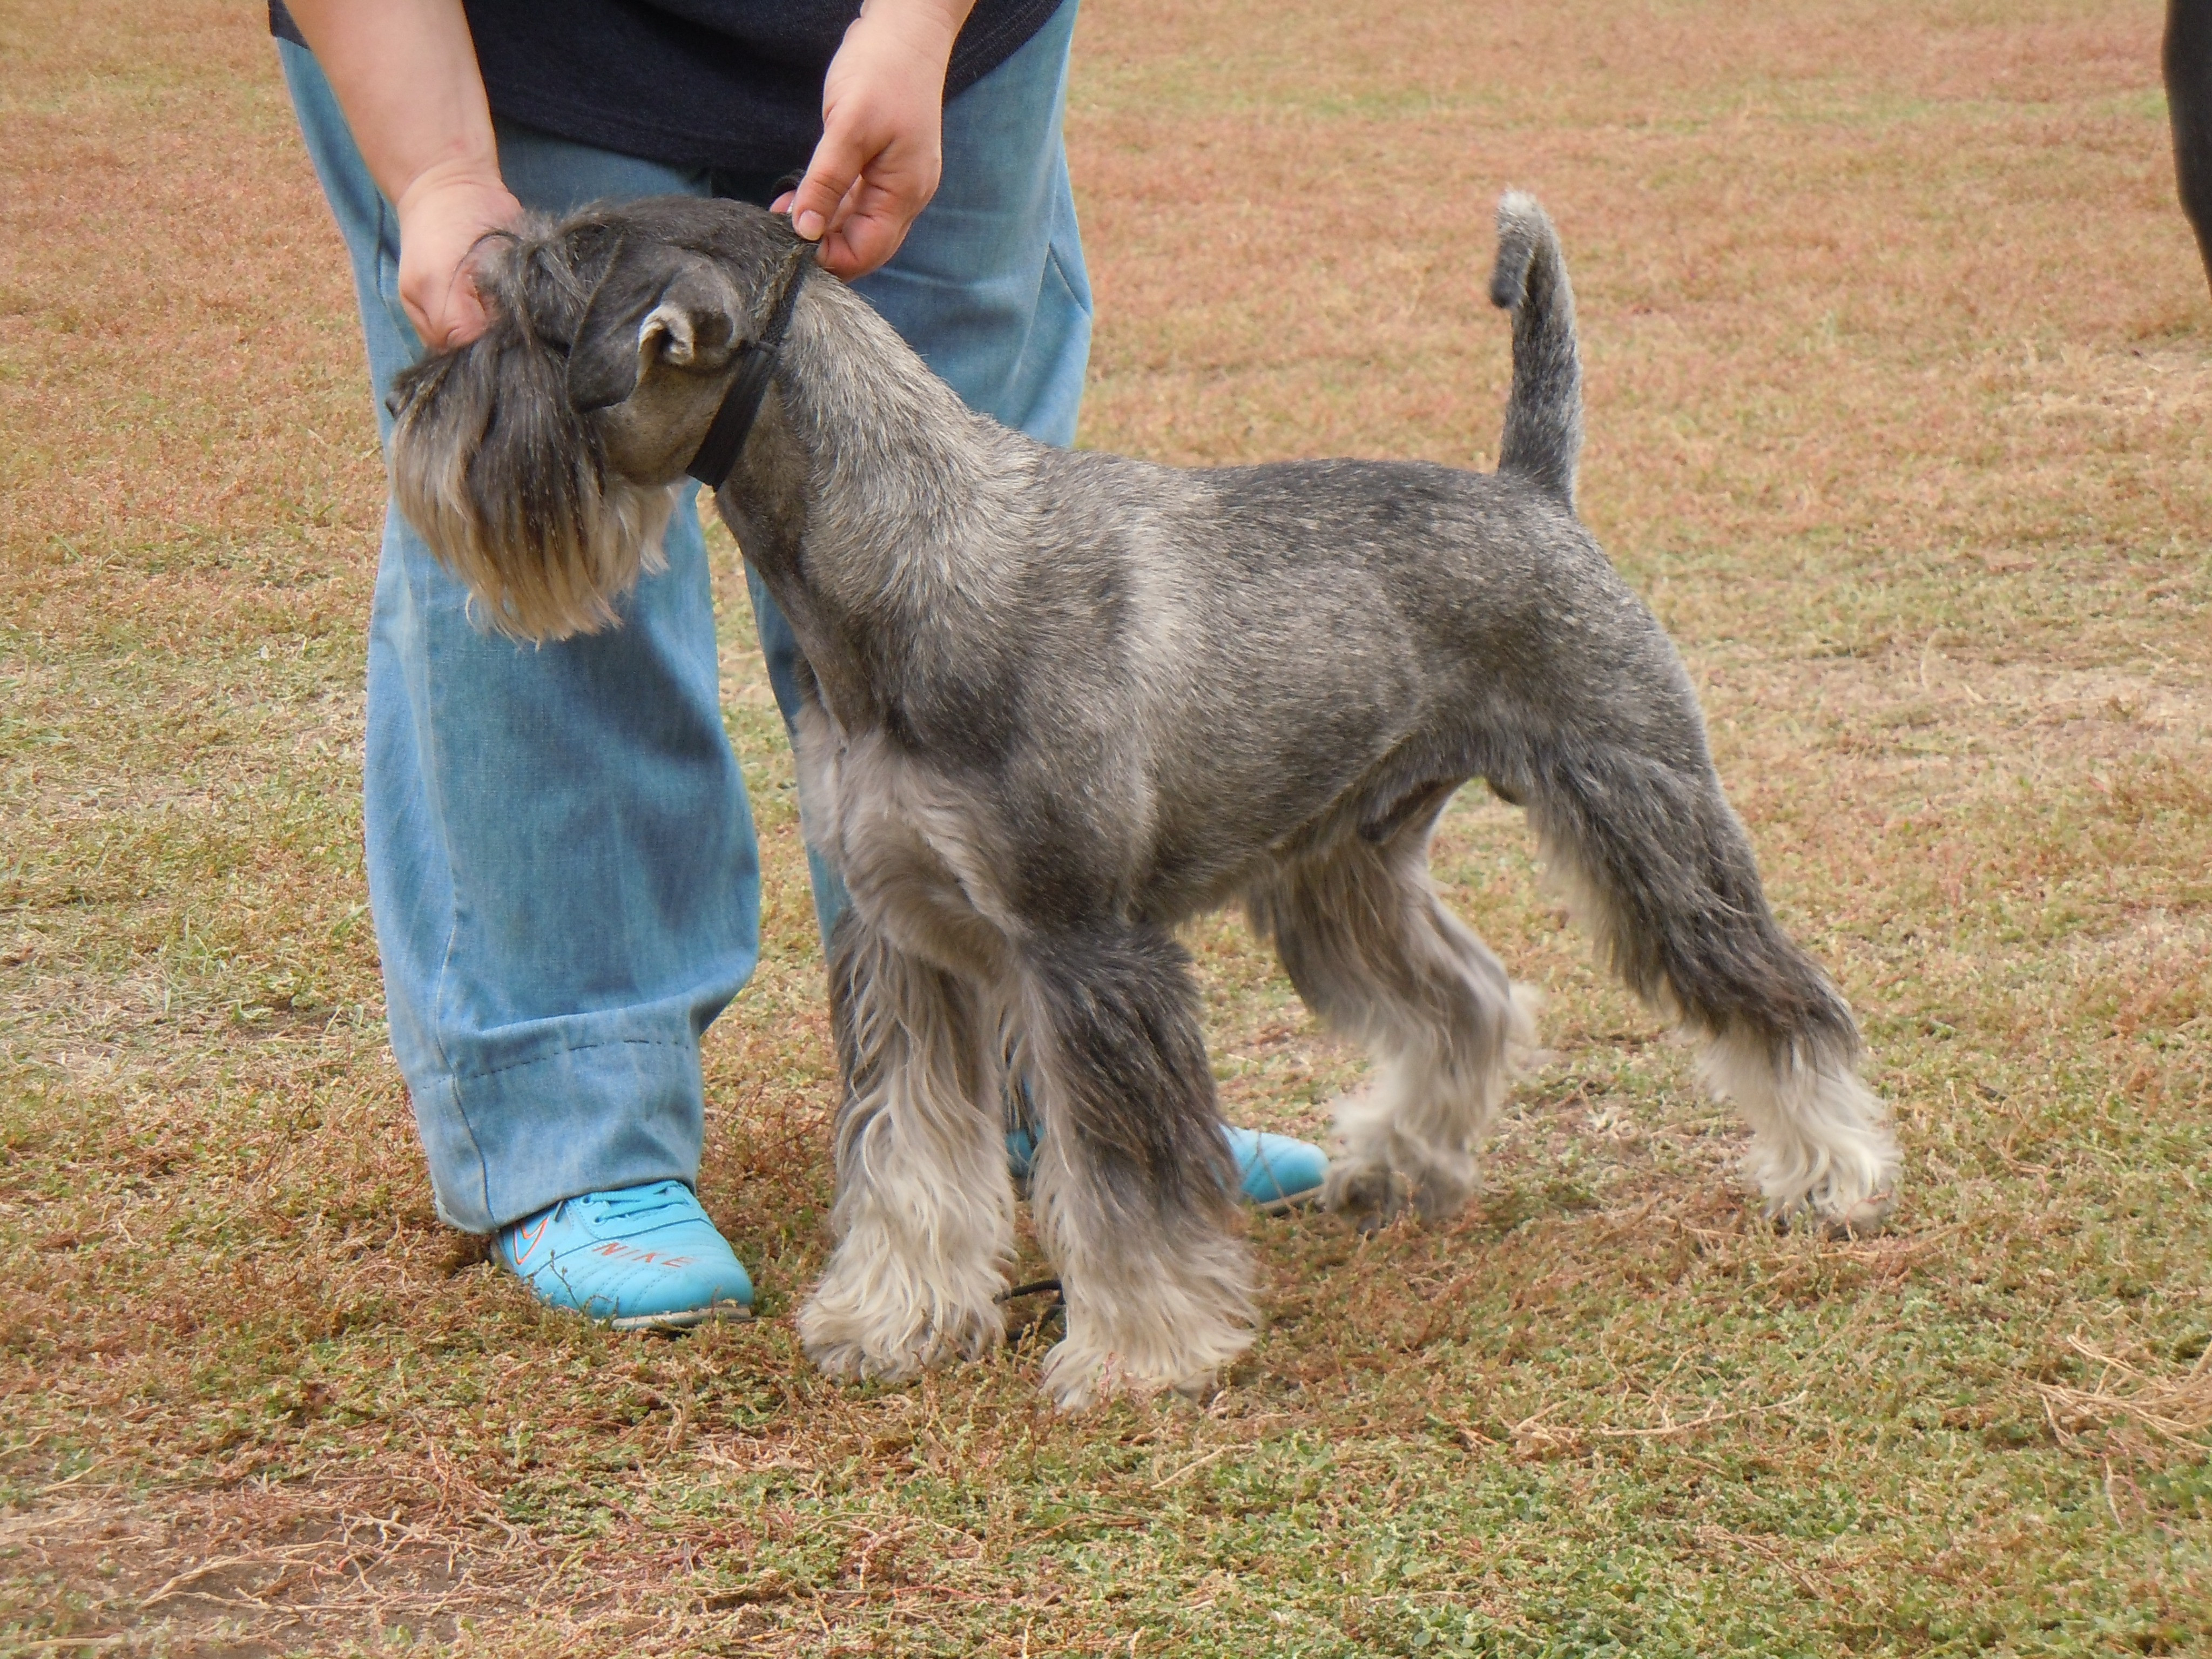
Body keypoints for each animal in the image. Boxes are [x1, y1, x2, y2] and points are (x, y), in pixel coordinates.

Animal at [387, 191, 1900, 1408]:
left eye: (531, 321)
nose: (405, 398)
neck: (908, 556)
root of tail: (1531, 490)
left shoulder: (1081, 947)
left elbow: (1116, 1184)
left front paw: (1133, 1353)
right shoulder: (902, 941)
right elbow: (904, 1155)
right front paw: (893, 1319)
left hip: (1645, 818)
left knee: (1777, 999)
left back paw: (1831, 1174)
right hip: (1337, 870)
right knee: (1463, 997)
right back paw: (1396, 1163)